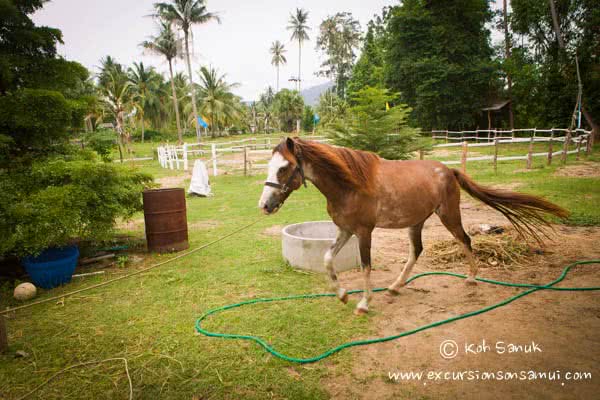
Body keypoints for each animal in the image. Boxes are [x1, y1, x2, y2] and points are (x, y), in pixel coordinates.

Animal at [258, 138, 568, 316]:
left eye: (284, 168)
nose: (264, 205)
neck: (349, 184)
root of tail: (448, 170)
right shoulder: (345, 231)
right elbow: (326, 260)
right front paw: (343, 295)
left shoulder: (364, 232)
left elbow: (366, 267)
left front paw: (363, 303)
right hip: (415, 223)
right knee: (416, 251)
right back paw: (396, 286)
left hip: (449, 216)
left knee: (465, 240)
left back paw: (471, 278)